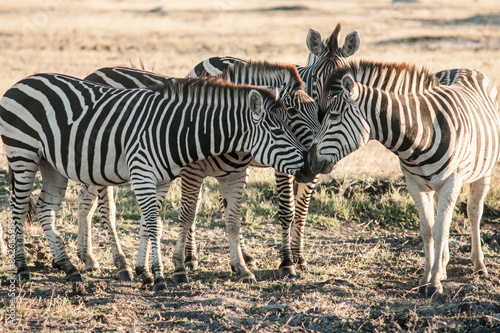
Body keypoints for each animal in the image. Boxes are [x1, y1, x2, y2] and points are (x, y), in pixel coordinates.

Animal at [0, 73, 306, 290]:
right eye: (278, 131)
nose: (306, 164)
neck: (176, 130)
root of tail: (22, 81)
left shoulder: (160, 180)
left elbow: (151, 226)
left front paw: (144, 272)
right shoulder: (143, 173)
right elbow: (154, 226)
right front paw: (159, 277)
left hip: (51, 165)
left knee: (45, 209)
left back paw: (69, 268)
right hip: (23, 153)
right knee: (19, 207)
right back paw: (22, 267)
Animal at [78, 61, 320, 282]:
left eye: (317, 111)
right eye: (292, 111)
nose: (313, 163)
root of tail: (94, 73)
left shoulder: (235, 175)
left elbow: (233, 219)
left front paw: (240, 266)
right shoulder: (191, 172)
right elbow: (187, 215)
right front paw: (179, 265)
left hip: (92, 162)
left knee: (85, 199)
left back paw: (87, 257)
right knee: (107, 210)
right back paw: (120, 264)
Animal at [308, 59, 500, 296]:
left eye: (333, 116)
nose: (309, 160)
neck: (420, 134)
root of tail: (463, 68)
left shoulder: (452, 181)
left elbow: (440, 229)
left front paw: (434, 284)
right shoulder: (415, 184)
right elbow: (427, 230)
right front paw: (427, 278)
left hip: (483, 172)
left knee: (474, 213)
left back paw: (479, 266)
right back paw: (443, 265)